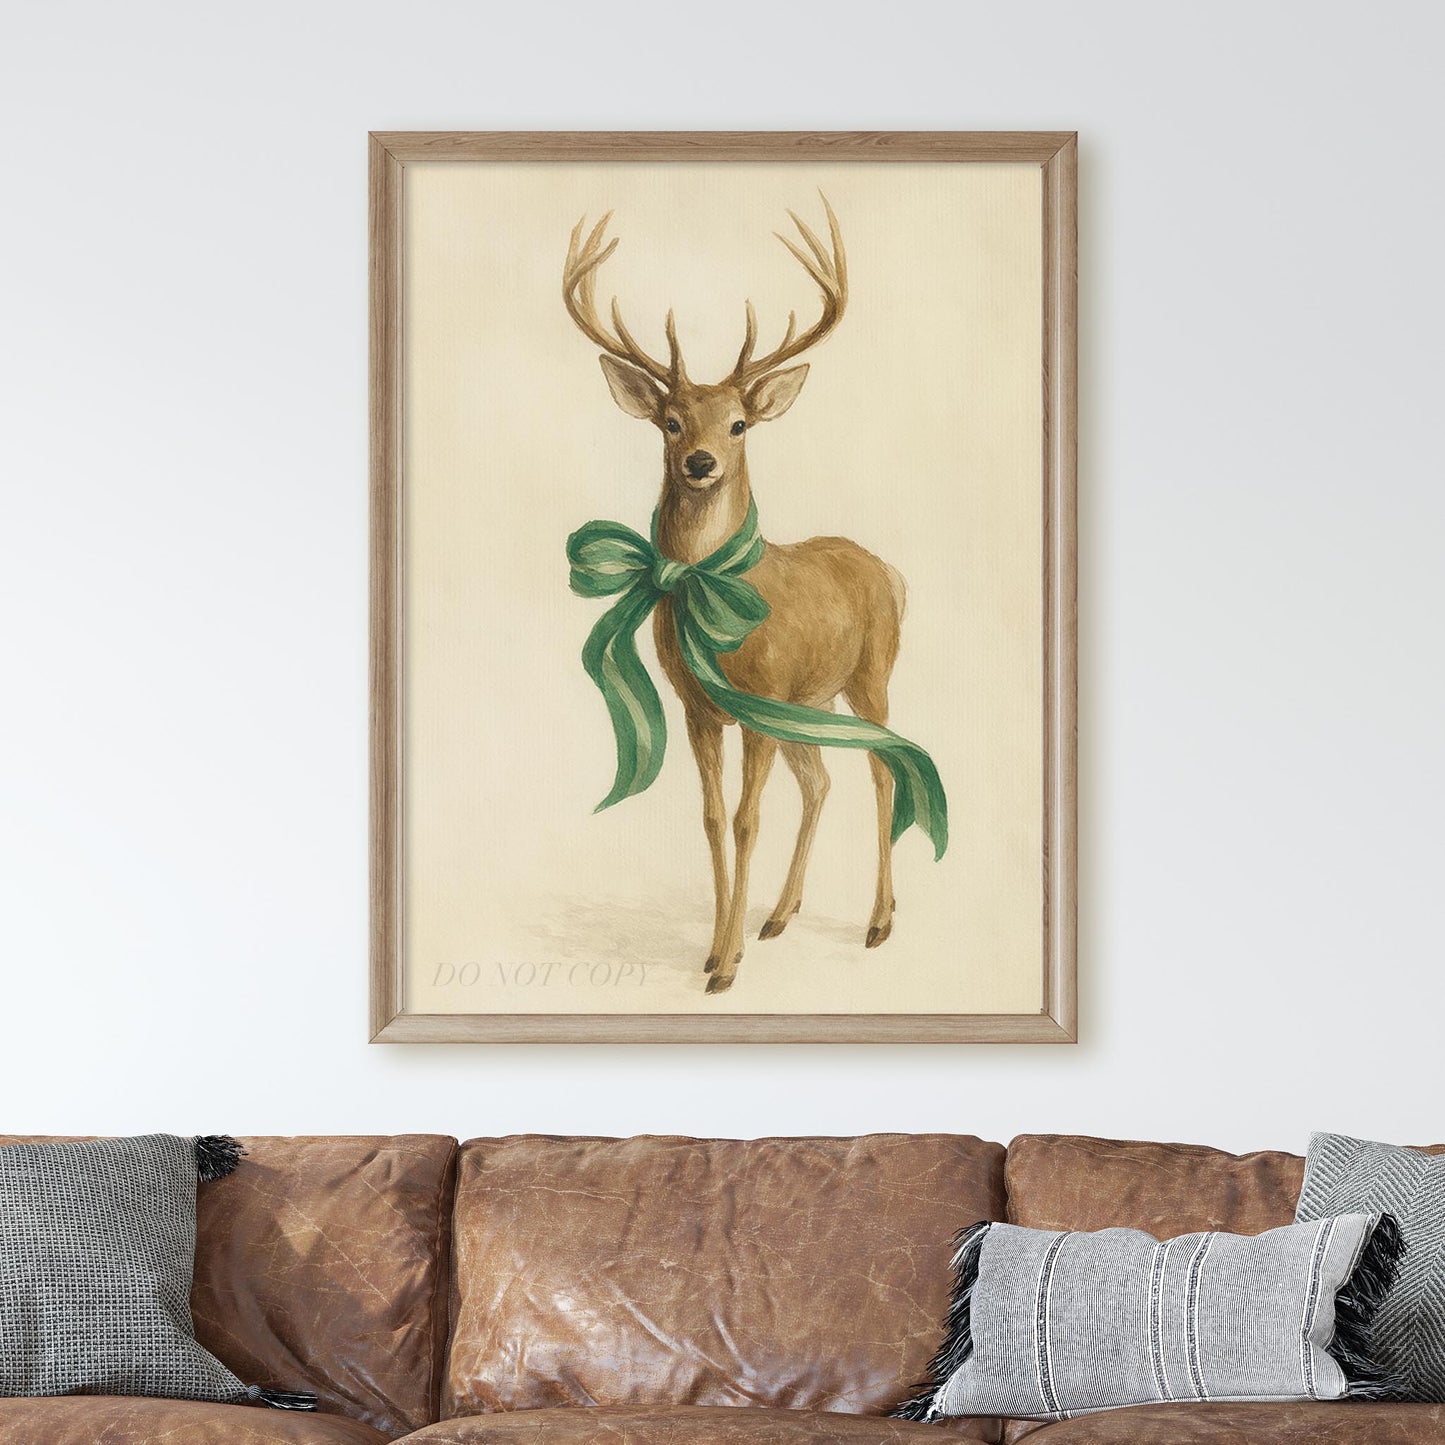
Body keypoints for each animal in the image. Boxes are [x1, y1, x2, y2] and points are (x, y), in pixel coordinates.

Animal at [564, 197, 925, 995]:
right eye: (670, 422)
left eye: (737, 424)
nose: (700, 462)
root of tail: (890, 571)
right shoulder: (700, 708)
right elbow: (707, 817)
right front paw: (712, 949)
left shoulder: (759, 698)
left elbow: (744, 820)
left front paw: (726, 967)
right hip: (806, 701)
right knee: (820, 780)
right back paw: (780, 915)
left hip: (869, 674)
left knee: (882, 770)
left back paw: (879, 922)